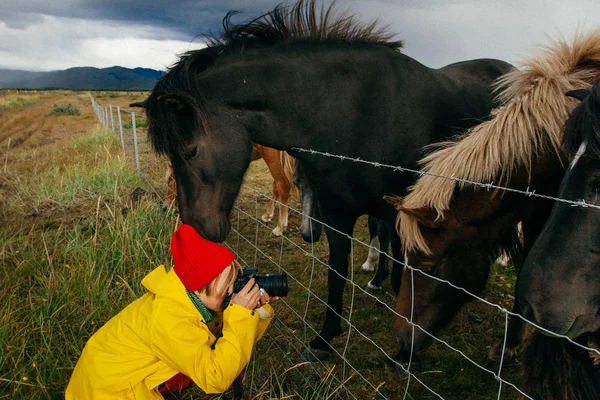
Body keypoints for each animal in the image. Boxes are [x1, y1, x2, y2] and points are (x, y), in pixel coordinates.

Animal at [163, 145, 296, 236]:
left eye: (169, 180)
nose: (165, 207)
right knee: (276, 185)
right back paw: (268, 214)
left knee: (283, 185)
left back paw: (280, 227)